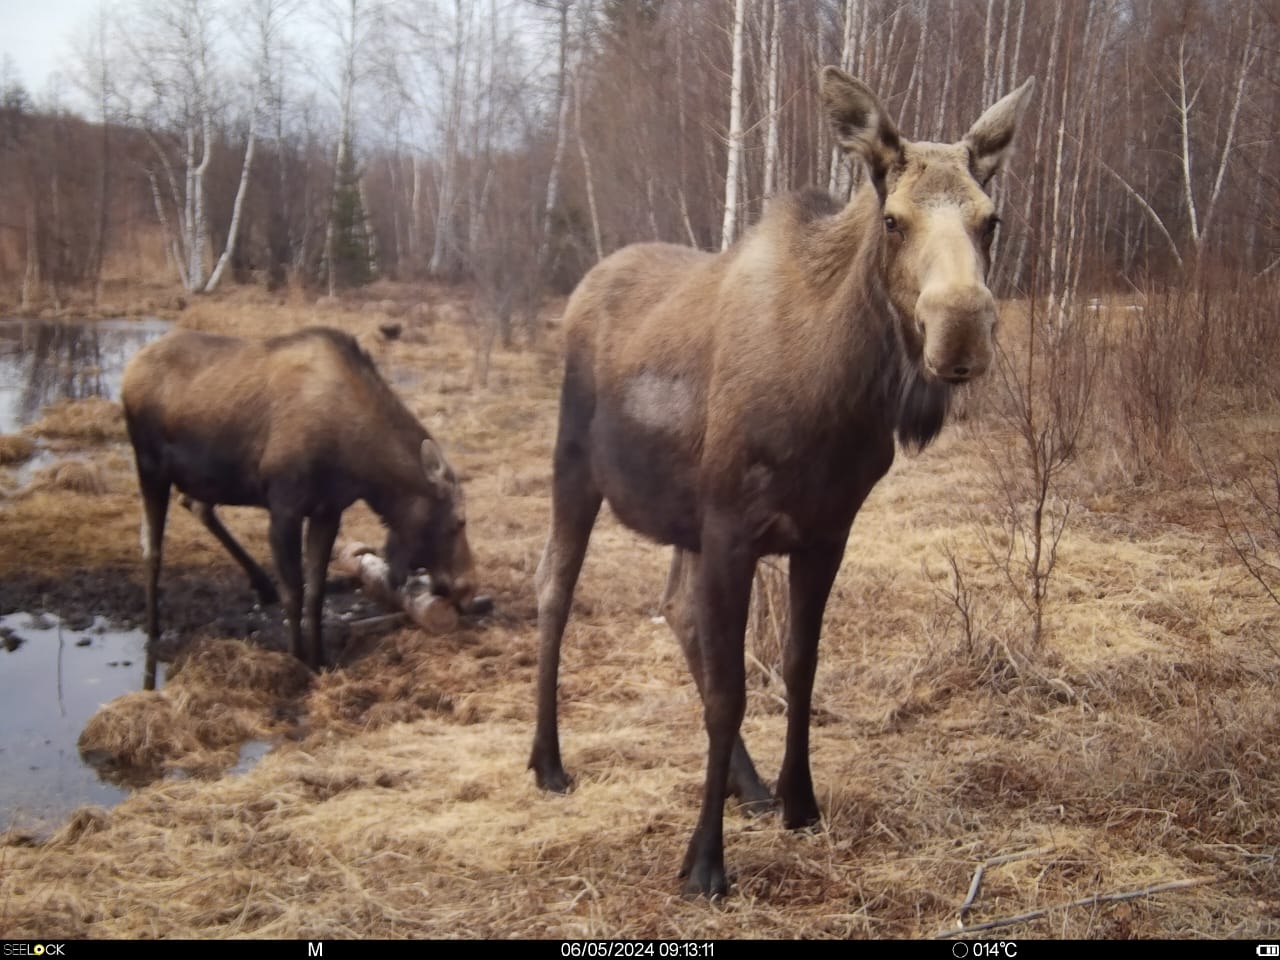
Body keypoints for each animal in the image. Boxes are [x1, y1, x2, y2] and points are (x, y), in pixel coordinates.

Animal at [524, 69, 1034, 901]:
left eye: (991, 220)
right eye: (893, 220)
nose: (960, 328)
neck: (839, 394)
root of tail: (583, 285)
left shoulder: (822, 534)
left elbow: (798, 668)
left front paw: (799, 800)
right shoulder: (733, 528)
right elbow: (732, 691)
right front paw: (705, 860)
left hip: (684, 519)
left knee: (675, 611)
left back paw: (751, 785)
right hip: (575, 471)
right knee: (554, 590)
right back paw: (548, 761)